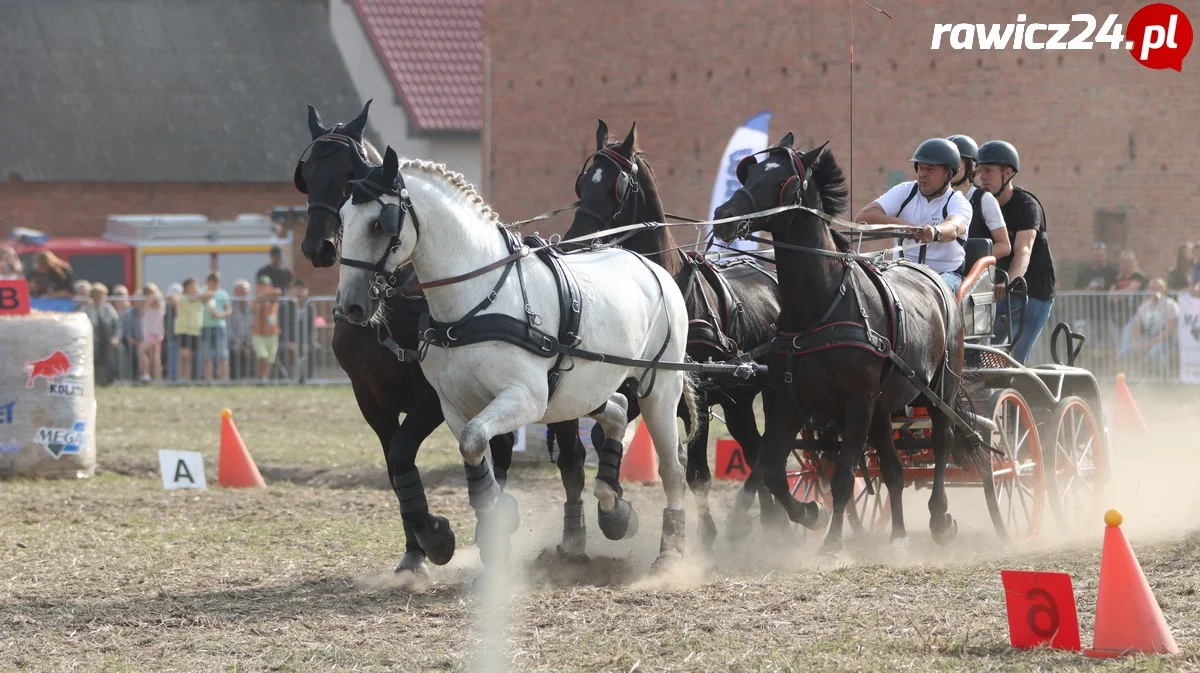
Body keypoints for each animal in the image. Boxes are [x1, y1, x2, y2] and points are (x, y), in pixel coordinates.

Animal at [292, 102, 628, 563]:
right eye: (306, 175)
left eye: (348, 176)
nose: (318, 248)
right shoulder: (372, 402)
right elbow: (396, 465)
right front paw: (415, 550)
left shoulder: (432, 399)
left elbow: (406, 452)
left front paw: (436, 537)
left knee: (572, 457)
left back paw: (575, 532)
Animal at [333, 146, 700, 571]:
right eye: (343, 219)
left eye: (380, 223)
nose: (351, 305)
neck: (476, 303)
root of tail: (651, 265)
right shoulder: (454, 407)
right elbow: (475, 455)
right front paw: (467, 532)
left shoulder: (525, 398)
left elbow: (475, 442)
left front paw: (485, 523)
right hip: (579, 391)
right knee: (618, 411)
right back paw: (612, 506)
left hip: (658, 387)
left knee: (672, 466)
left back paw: (670, 552)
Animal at [561, 120, 787, 549]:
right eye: (582, 182)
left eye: (616, 186)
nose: (571, 242)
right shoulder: (635, 387)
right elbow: (604, 436)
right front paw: (615, 510)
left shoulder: (694, 394)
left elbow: (696, 473)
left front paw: (705, 536)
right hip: (737, 400)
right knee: (756, 449)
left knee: (762, 449)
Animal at [705, 133, 998, 554]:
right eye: (750, 170)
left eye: (779, 179)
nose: (724, 214)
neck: (819, 309)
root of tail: (935, 280)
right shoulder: (787, 403)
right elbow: (774, 471)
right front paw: (810, 513)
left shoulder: (857, 403)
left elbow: (842, 476)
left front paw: (830, 541)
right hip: (883, 408)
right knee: (893, 469)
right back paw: (897, 535)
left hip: (940, 387)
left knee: (942, 445)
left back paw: (940, 518)